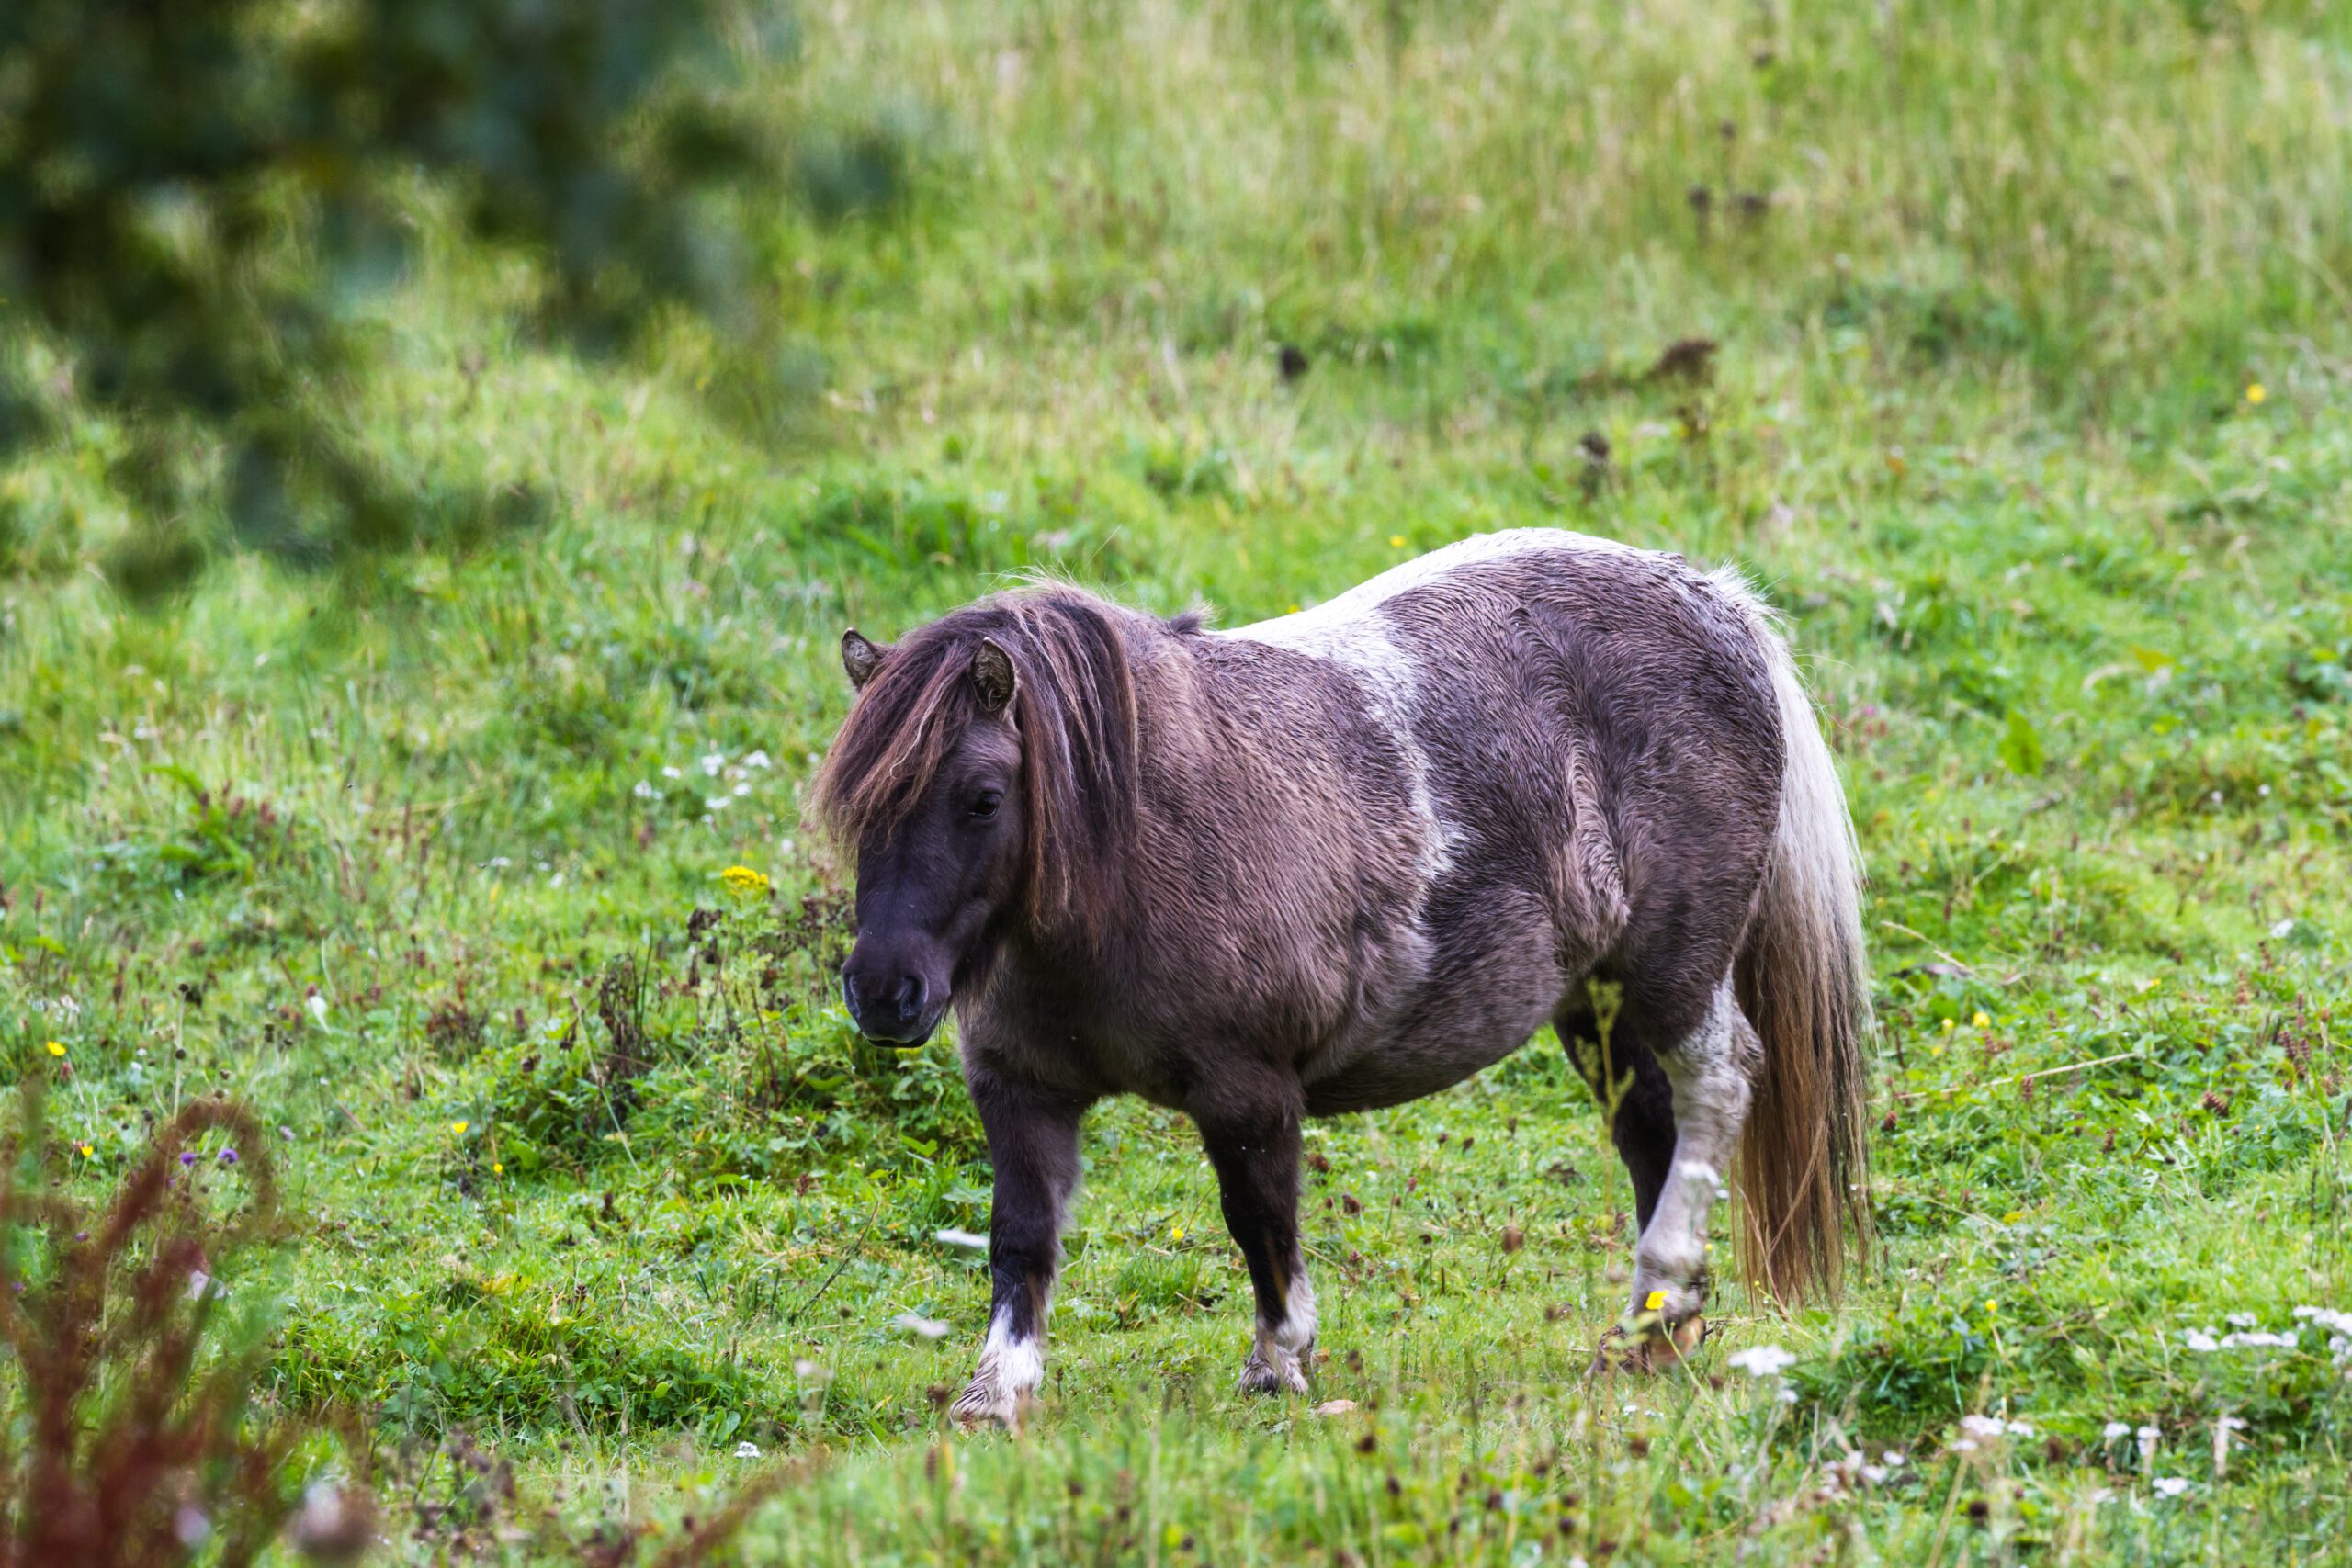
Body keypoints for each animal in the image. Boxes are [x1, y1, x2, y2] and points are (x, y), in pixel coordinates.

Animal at [813, 528, 1870, 1427]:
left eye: (983, 799)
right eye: (858, 810)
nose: (884, 991)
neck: (1134, 845)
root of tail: (1717, 603)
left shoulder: (1246, 1089)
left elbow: (1258, 1220)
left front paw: (1278, 1362)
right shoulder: (1021, 1090)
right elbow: (1021, 1236)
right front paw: (995, 1393)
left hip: (1672, 972)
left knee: (1717, 1086)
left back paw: (1665, 1286)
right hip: (1596, 1005)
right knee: (1650, 1127)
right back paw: (1654, 1327)